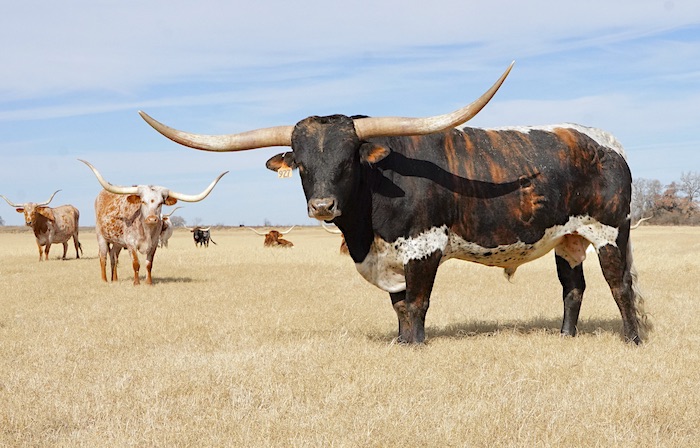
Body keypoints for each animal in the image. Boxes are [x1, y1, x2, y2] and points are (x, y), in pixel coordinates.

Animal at [80, 159, 227, 286]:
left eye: (160, 203)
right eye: (143, 201)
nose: (152, 219)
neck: (146, 231)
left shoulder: (155, 244)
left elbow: (149, 264)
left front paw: (149, 282)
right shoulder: (131, 244)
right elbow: (136, 263)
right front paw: (136, 283)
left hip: (117, 242)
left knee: (113, 257)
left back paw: (114, 279)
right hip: (101, 237)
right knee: (103, 257)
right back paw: (104, 280)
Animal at [141, 62, 652, 344]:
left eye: (347, 160)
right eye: (301, 165)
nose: (322, 206)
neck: (366, 229)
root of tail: (608, 144)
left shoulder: (423, 248)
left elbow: (418, 303)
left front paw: (415, 346)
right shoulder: (388, 257)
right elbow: (399, 306)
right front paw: (400, 343)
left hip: (609, 232)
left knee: (619, 285)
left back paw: (632, 340)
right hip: (568, 238)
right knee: (573, 287)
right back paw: (565, 338)